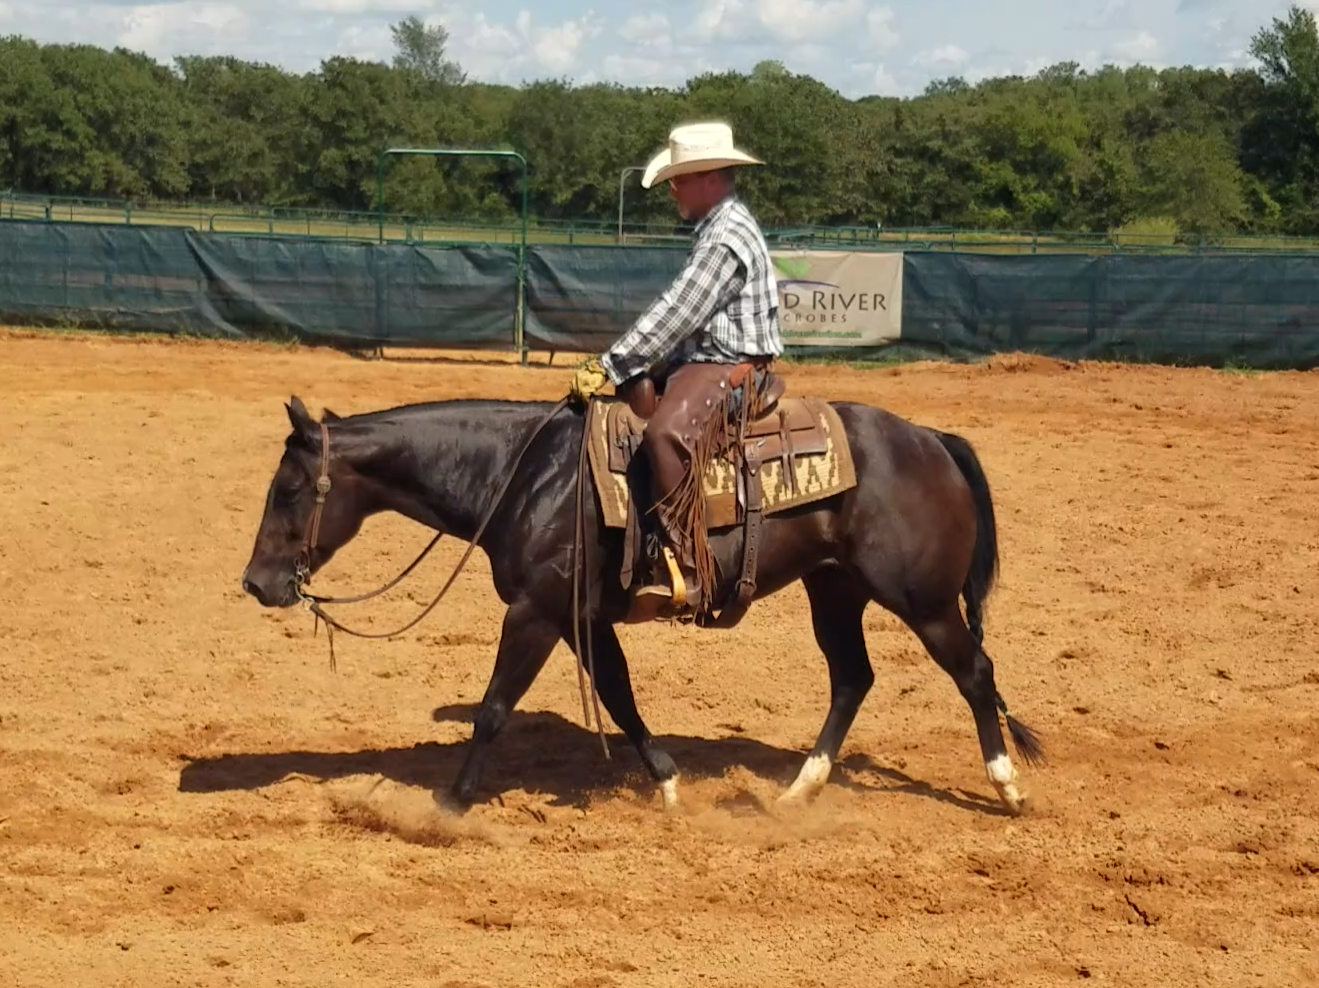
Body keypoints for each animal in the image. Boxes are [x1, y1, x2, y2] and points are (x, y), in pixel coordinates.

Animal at [239, 384, 1044, 817]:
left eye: (288, 490)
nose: (257, 583)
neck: (524, 473)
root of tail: (929, 439)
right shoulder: (581, 618)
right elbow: (619, 698)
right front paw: (668, 784)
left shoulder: (534, 613)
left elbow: (496, 707)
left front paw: (449, 807)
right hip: (835, 590)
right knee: (852, 677)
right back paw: (797, 791)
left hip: (923, 600)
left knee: (974, 674)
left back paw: (1006, 787)